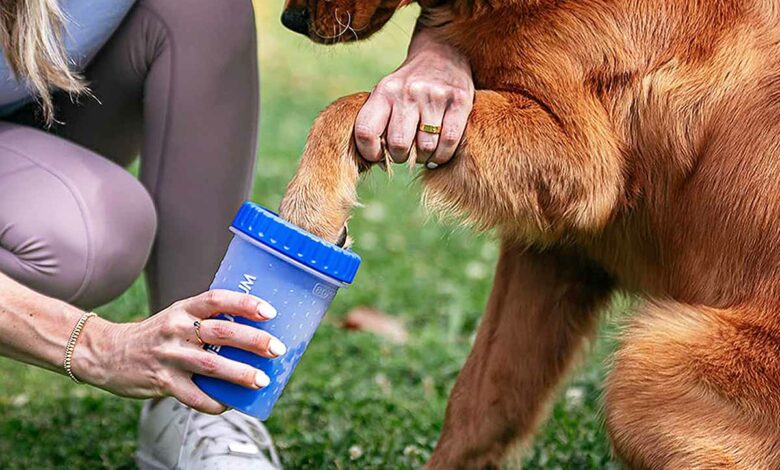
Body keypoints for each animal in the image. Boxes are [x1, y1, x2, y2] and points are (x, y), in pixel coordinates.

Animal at [274, 1, 780, 468]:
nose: (289, 21)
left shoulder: (580, 157)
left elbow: (352, 103)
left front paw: (310, 211)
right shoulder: (554, 251)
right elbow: (480, 402)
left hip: (648, 361)